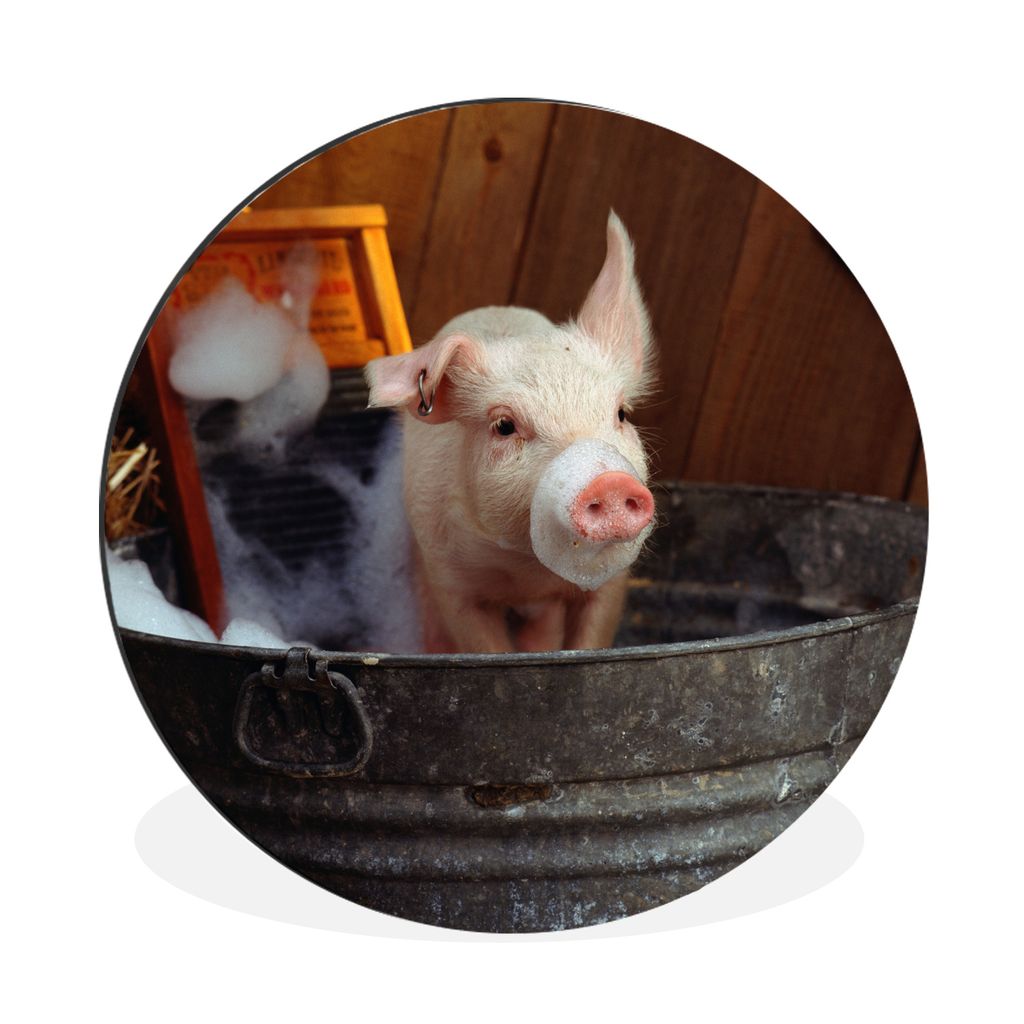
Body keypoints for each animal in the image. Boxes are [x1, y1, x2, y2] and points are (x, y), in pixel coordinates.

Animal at [364, 211, 657, 654]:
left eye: (621, 414)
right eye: (505, 425)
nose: (610, 482)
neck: (526, 571)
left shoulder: (612, 581)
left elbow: (591, 640)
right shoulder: (449, 577)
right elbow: (484, 646)